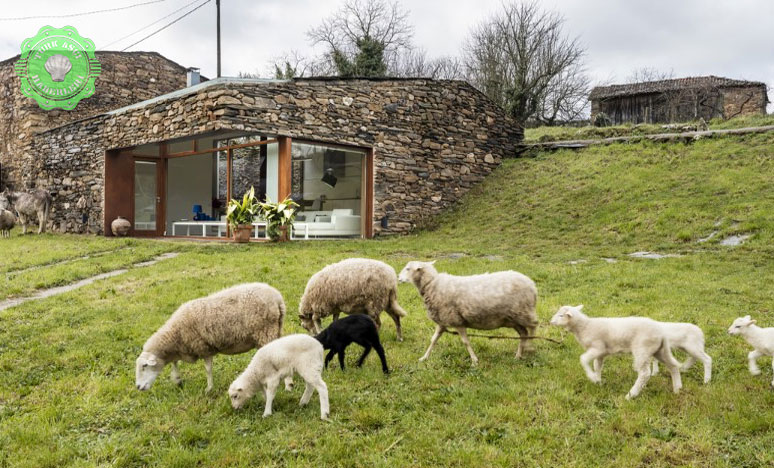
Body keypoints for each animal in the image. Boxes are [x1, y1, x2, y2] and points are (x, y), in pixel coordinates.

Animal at [135, 284, 290, 394]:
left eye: (144, 366)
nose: (138, 387)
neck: (175, 334)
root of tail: (278, 299)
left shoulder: (204, 348)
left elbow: (208, 369)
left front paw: (209, 388)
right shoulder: (184, 348)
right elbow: (175, 362)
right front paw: (177, 380)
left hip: (266, 331)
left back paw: (286, 385)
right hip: (275, 330)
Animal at [400, 260, 540, 366]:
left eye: (408, 268)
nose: (398, 278)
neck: (432, 285)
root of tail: (532, 285)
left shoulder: (456, 320)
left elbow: (465, 342)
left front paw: (474, 361)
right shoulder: (443, 321)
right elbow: (433, 340)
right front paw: (424, 358)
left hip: (523, 312)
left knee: (534, 326)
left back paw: (530, 348)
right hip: (513, 318)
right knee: (524, 333)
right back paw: (518, 355)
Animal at [548, 306, 684, 400]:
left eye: (561, 315)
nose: (550, 321)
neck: (585, 326)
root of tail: (661, 333)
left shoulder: (598, 347)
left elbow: (583, 359)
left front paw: (592, 377)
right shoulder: (601, 353)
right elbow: (597, 366)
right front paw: (598, 381)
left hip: (642, 349)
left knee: (645, 374)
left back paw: (631, 395)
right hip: (660, 350)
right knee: (673, 366)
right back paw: (677, 389)